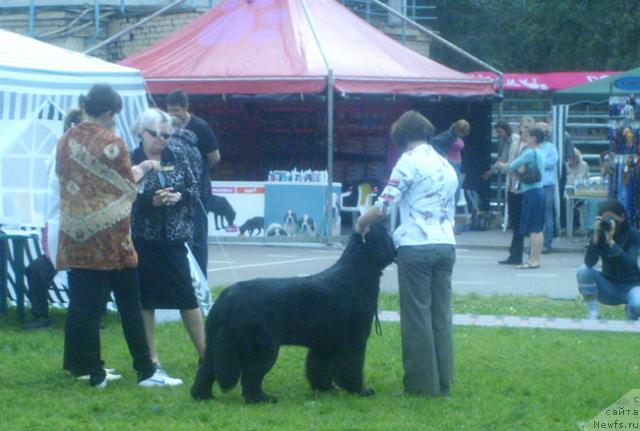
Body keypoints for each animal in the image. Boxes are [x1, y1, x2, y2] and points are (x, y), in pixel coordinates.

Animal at [191, 226, 396, 404]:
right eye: (388, 235)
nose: (396, 252)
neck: (358, 273)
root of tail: (227, 299)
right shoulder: (354, 339)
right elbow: (351, 367)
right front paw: (361, 390)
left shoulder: (325, 343)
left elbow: (319, 367)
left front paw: (325, 388)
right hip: (264, 347)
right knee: (251, 376)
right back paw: (262, 399)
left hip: (213, 343)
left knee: (206, 371)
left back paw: (202, 396)